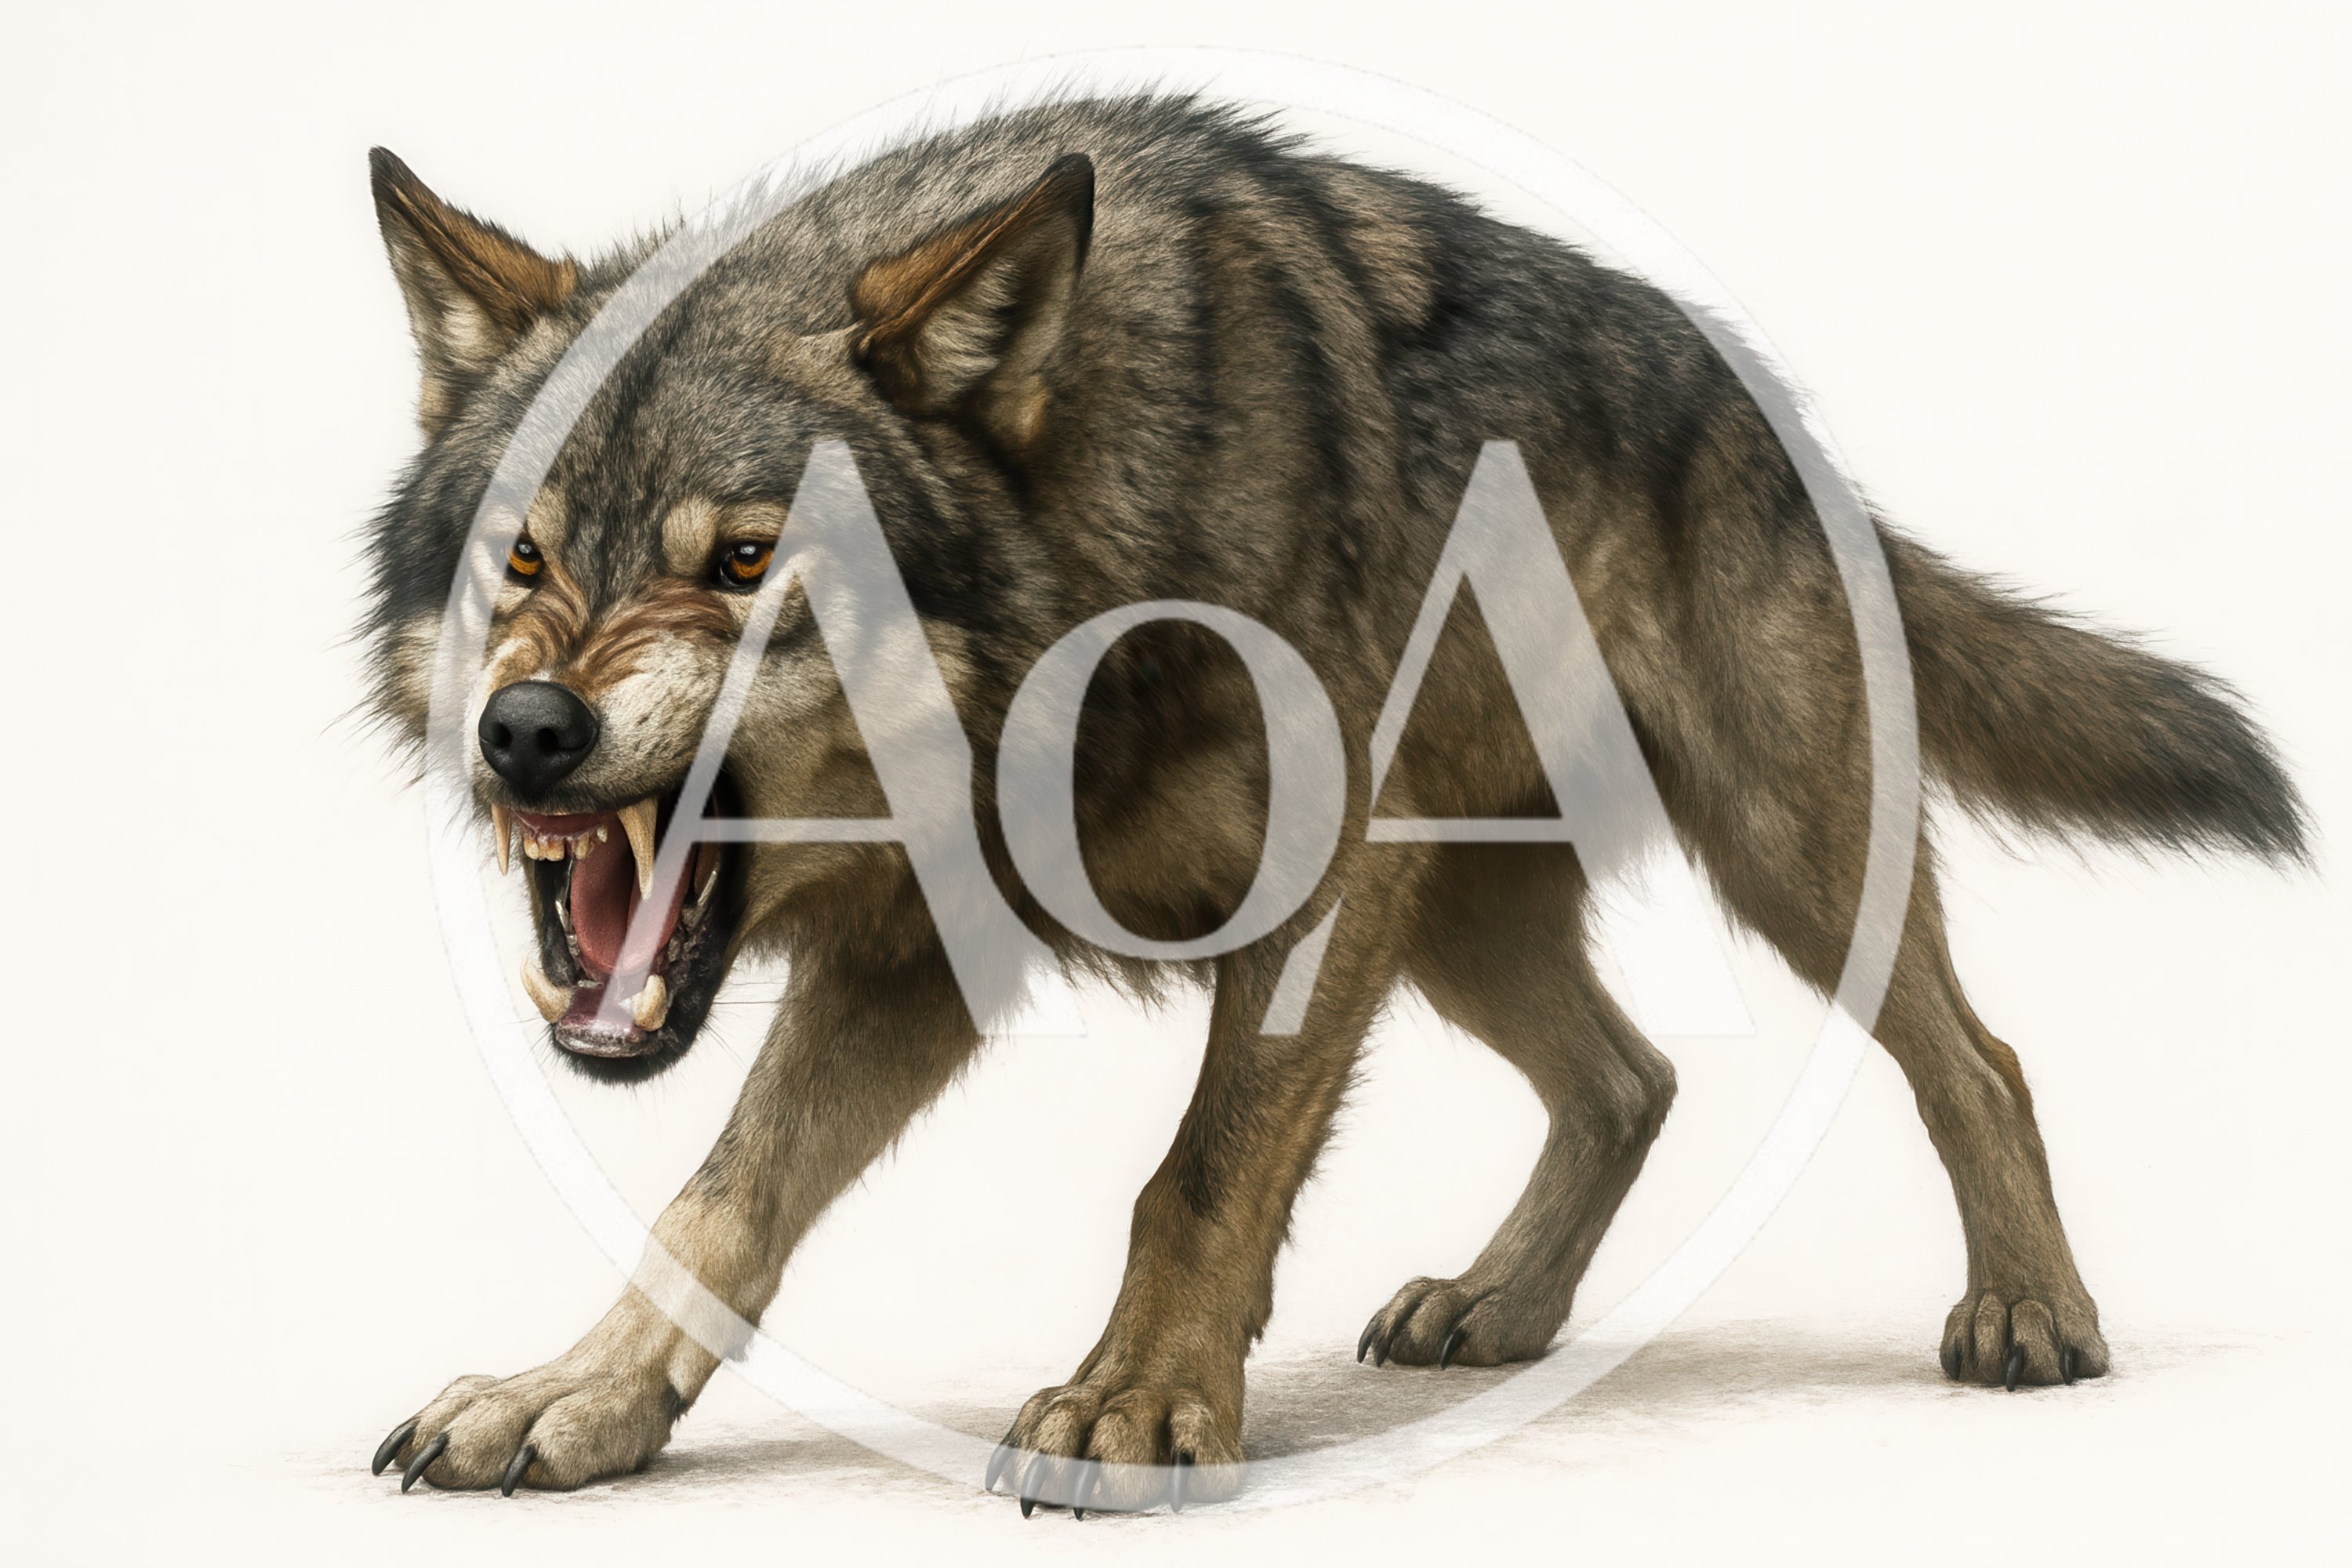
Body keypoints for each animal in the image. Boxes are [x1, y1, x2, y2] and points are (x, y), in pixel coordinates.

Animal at [359, 95, 2306, 1508]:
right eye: (520, 557)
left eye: (750, 561)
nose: (528, 732)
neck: (1093, 591)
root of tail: (1796, 440)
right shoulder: (918, 958)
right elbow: (720, 1198)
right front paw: (577, 1398)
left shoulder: (1309, 903)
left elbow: (1200, 1175)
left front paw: (1138, 1403)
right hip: (1457, 916)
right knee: (1633, 1075)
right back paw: (1501, 1305)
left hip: (1772, 858)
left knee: (1975, 1059)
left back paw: (2031, 1312)